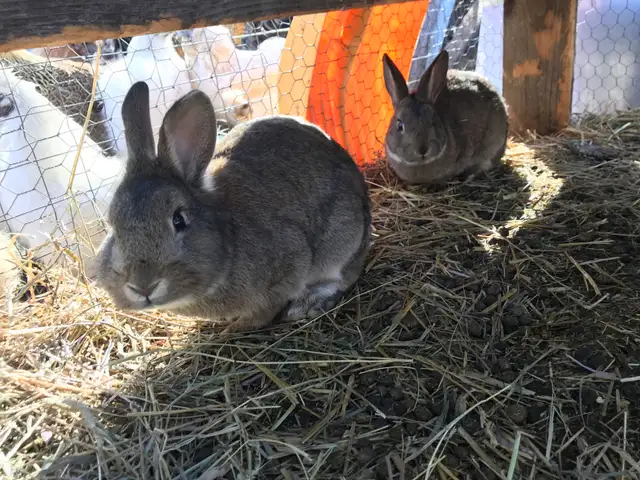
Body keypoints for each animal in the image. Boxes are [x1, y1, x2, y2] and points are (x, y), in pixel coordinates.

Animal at [95, 81, 372, 334]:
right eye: (113, 226)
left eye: (178, 220)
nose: (142, 286)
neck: (228, 236)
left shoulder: (288, 267)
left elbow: (264, 311)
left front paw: (236, 327)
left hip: (340, 242)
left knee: (341, 277)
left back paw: (307, 304)